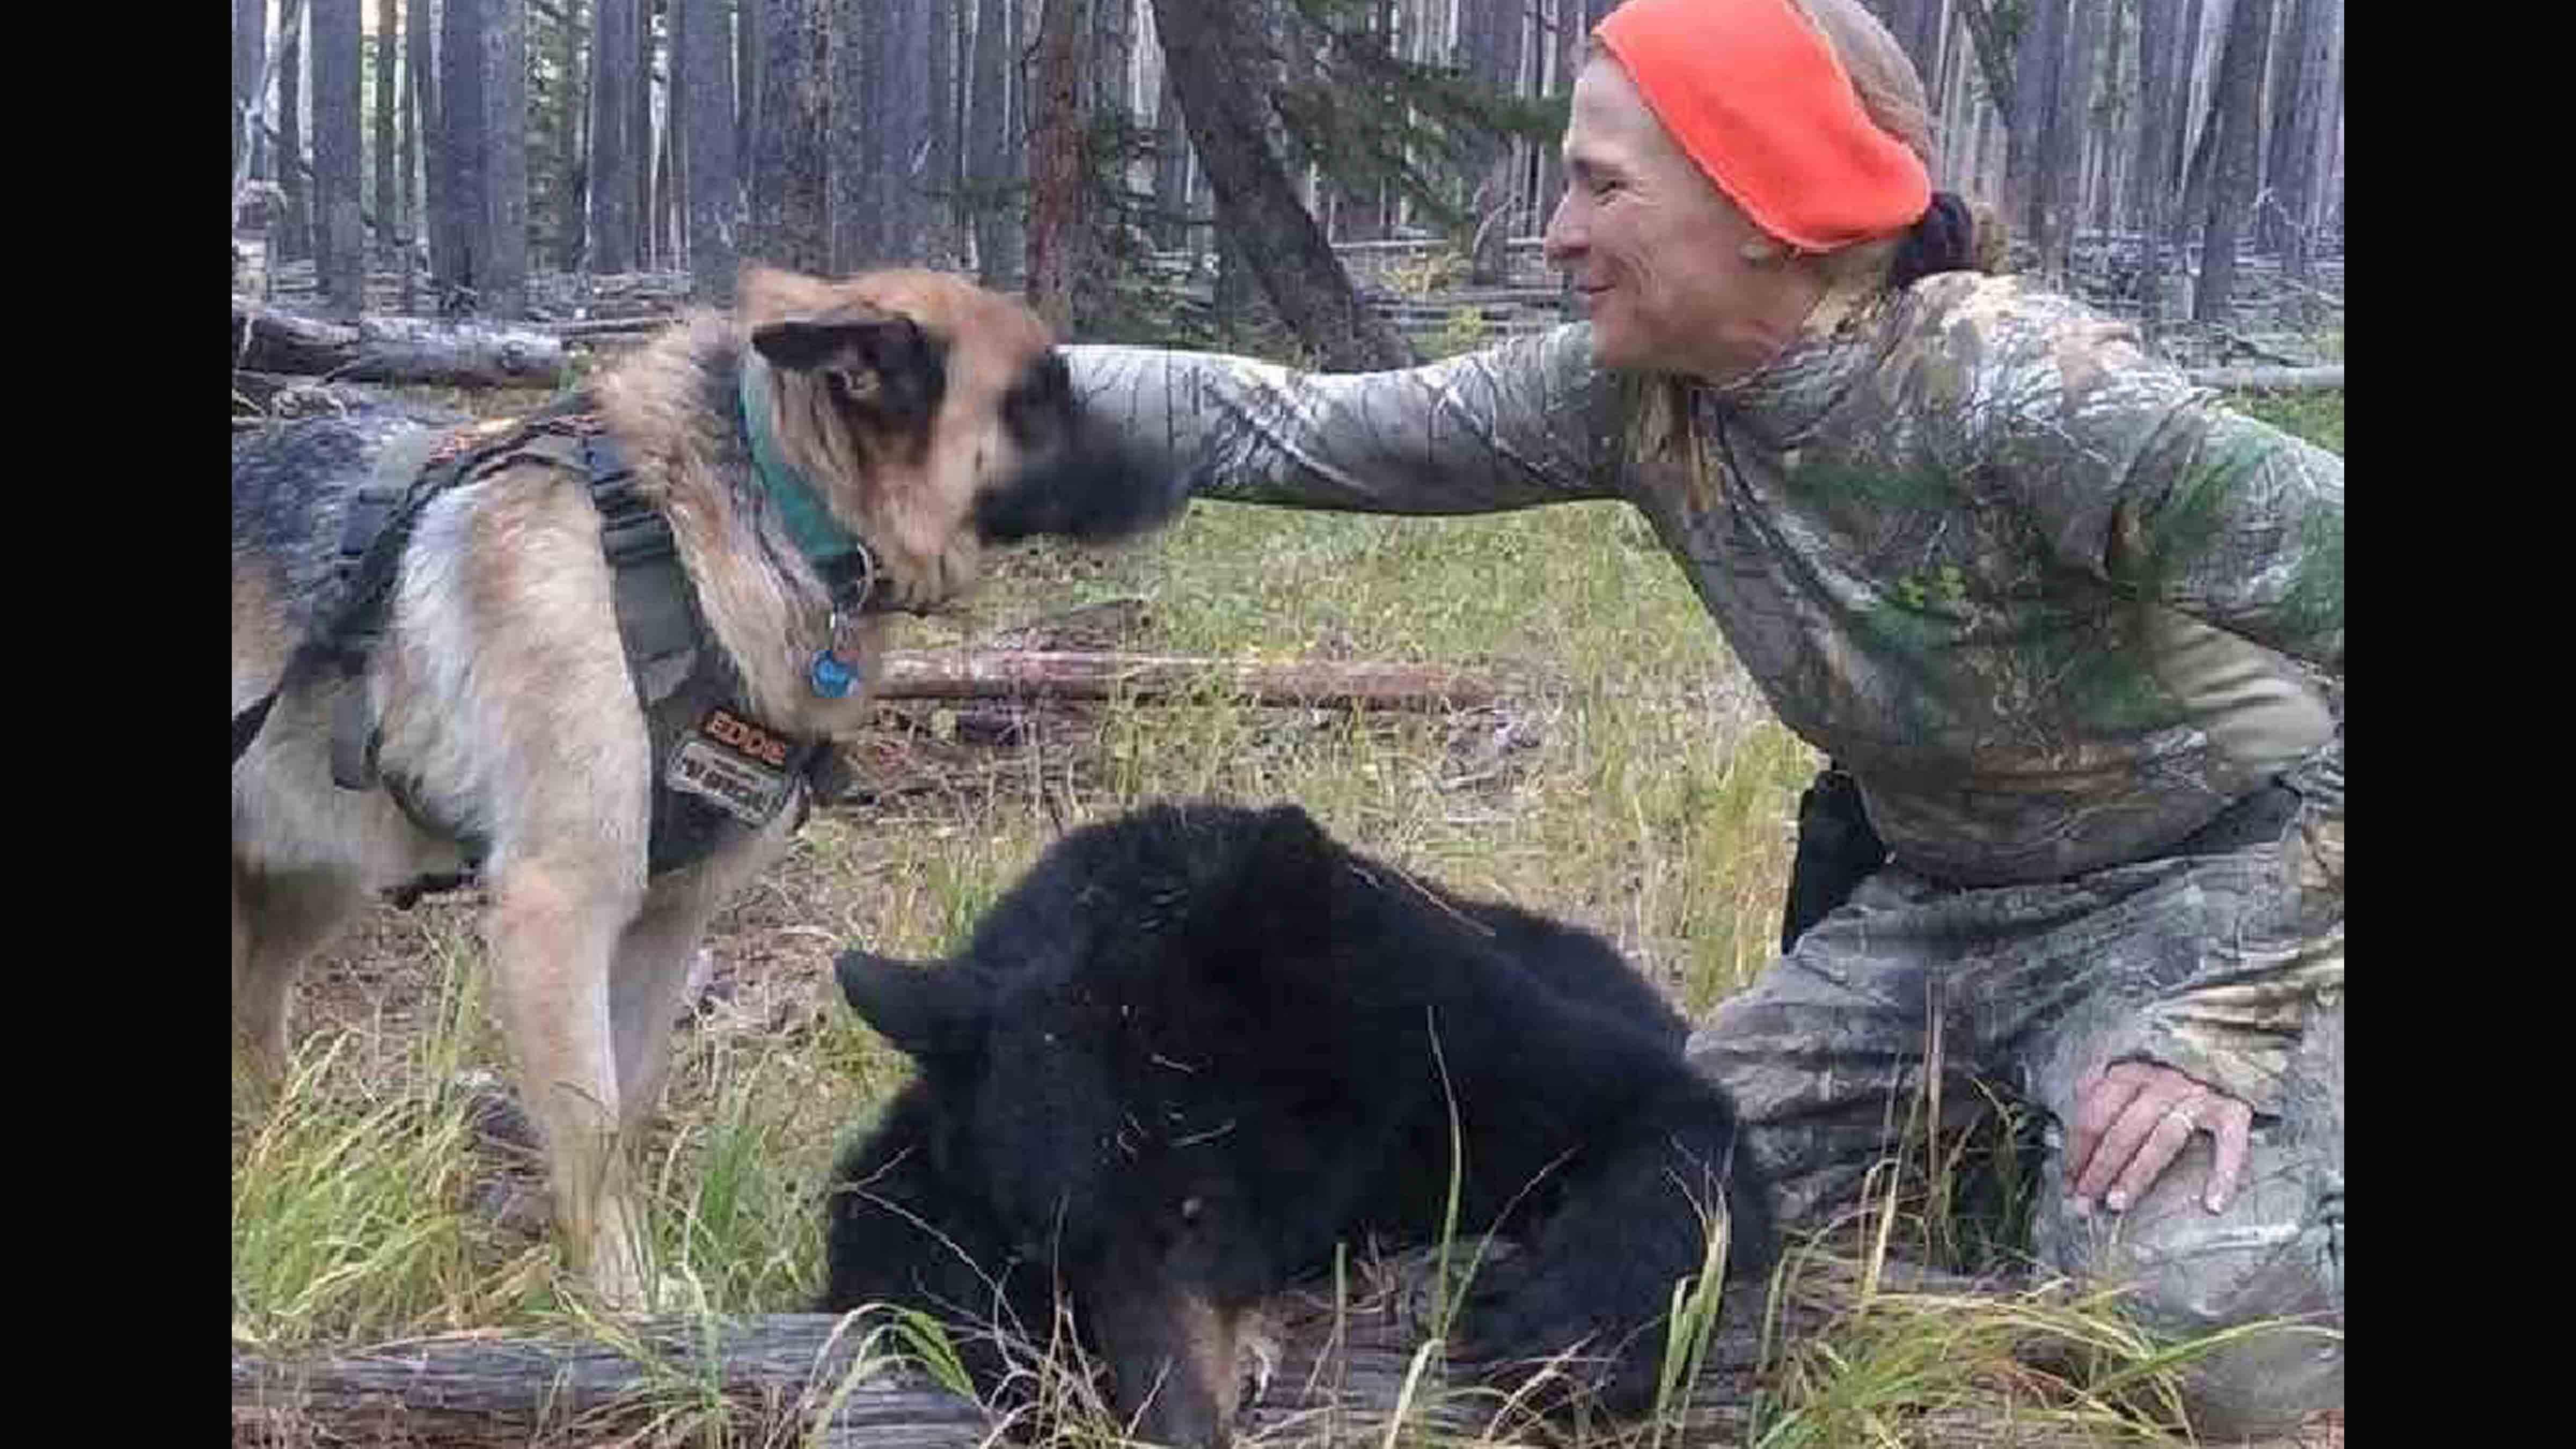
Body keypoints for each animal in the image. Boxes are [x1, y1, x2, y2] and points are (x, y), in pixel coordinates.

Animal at [816, 800, 1775, 1446]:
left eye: (1193, 1209)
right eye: (1039, 1248)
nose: (1177, 1429)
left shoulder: (1446, 1047)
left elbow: (1660, 1116)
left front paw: (1559, 1334)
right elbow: (884, 1215)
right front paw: (1015, 1354)